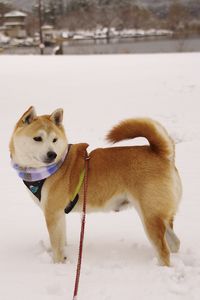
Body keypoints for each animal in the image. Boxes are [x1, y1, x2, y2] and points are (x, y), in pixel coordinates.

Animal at [9, 106, 182, 266]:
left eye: (54, 140)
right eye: (38, 138)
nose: (52, 154)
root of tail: (161, 153)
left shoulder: (52, 214)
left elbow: (57, 248)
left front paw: (57, 265)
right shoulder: (59, 215)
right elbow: (62, 242)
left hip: (150, 216)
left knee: (164, 251)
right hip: (159, 215)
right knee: (175, 243)